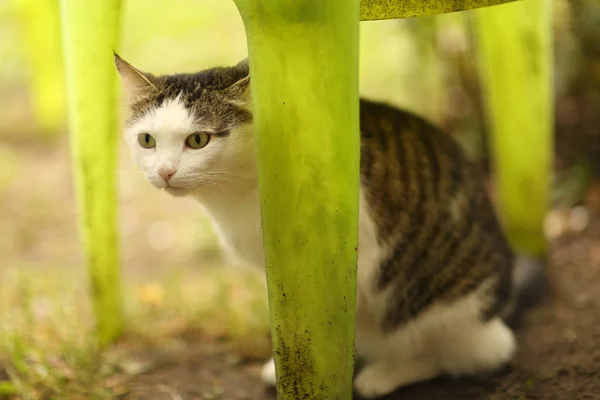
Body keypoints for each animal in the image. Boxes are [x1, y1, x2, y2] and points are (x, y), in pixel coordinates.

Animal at [112, 54, 544, 398]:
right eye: (147, 140)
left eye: (198, 140)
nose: (165, 172)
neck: (236, 197)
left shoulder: (351, 259)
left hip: (448, 310)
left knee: (467, 353)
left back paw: (383, 374)